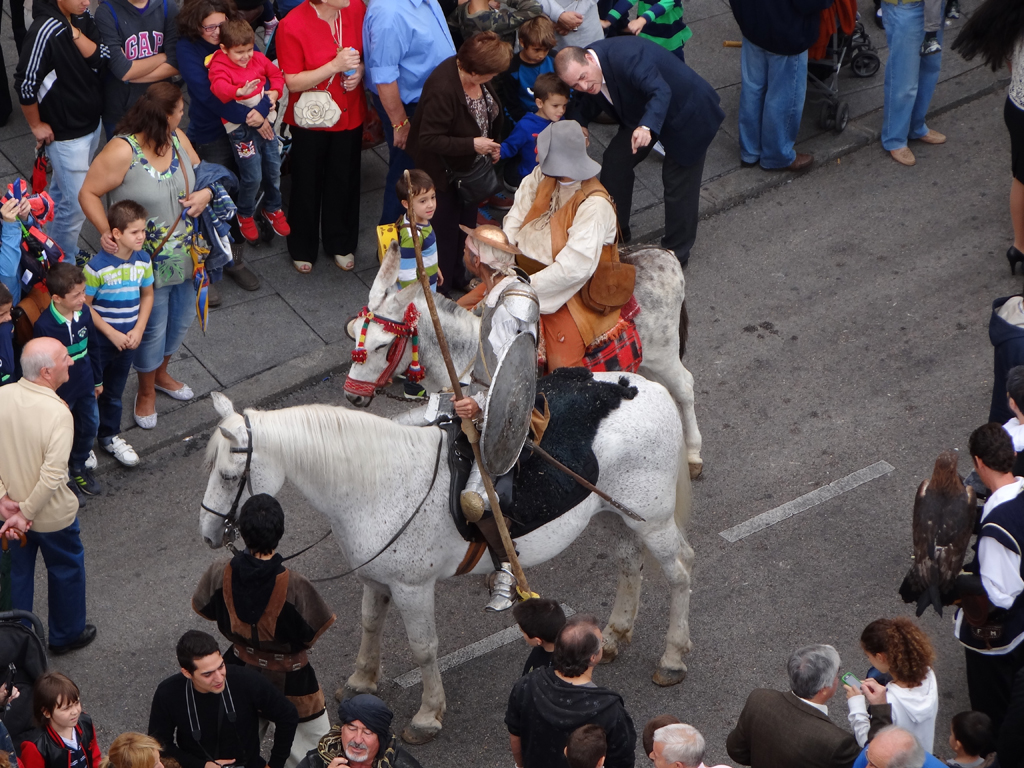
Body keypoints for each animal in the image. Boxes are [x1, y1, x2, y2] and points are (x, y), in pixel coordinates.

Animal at [197, 387, 696, 741]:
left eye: (228, 475)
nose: (208, 535)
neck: (376, 481)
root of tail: (653, 389)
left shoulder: (412, 588)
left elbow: (423, 648)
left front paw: (427, 714)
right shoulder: (376, 579)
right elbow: (369, 624)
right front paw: (361, 680)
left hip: (652, 522)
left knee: (679, 574)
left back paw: (672, 657)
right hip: (613, 516)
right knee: (629, 565)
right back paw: (612, 637)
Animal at [344, 243, 704, 479]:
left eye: (382, 345)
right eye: (354, 334)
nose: (351, 395)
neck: (461, 356)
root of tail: (663, 254)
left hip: (664, 353)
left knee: (685, 387)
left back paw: (692, 454)